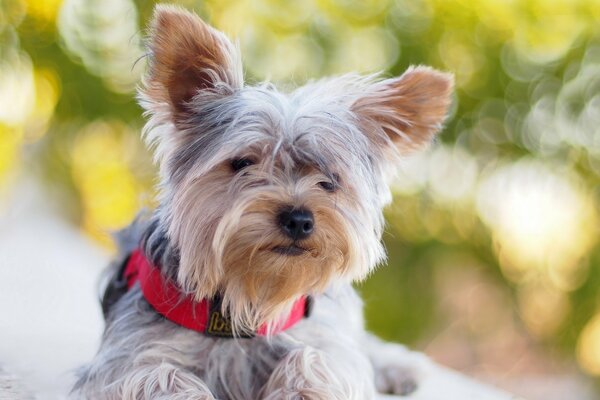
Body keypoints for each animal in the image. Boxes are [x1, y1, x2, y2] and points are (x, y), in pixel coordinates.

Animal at [72, 4, 452, 398]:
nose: (299, 219)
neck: (249, 302)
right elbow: (158, 374)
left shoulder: (323, 336)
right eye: (243, 163)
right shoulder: (126, 356)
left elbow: (319, 357)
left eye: (329, 180)